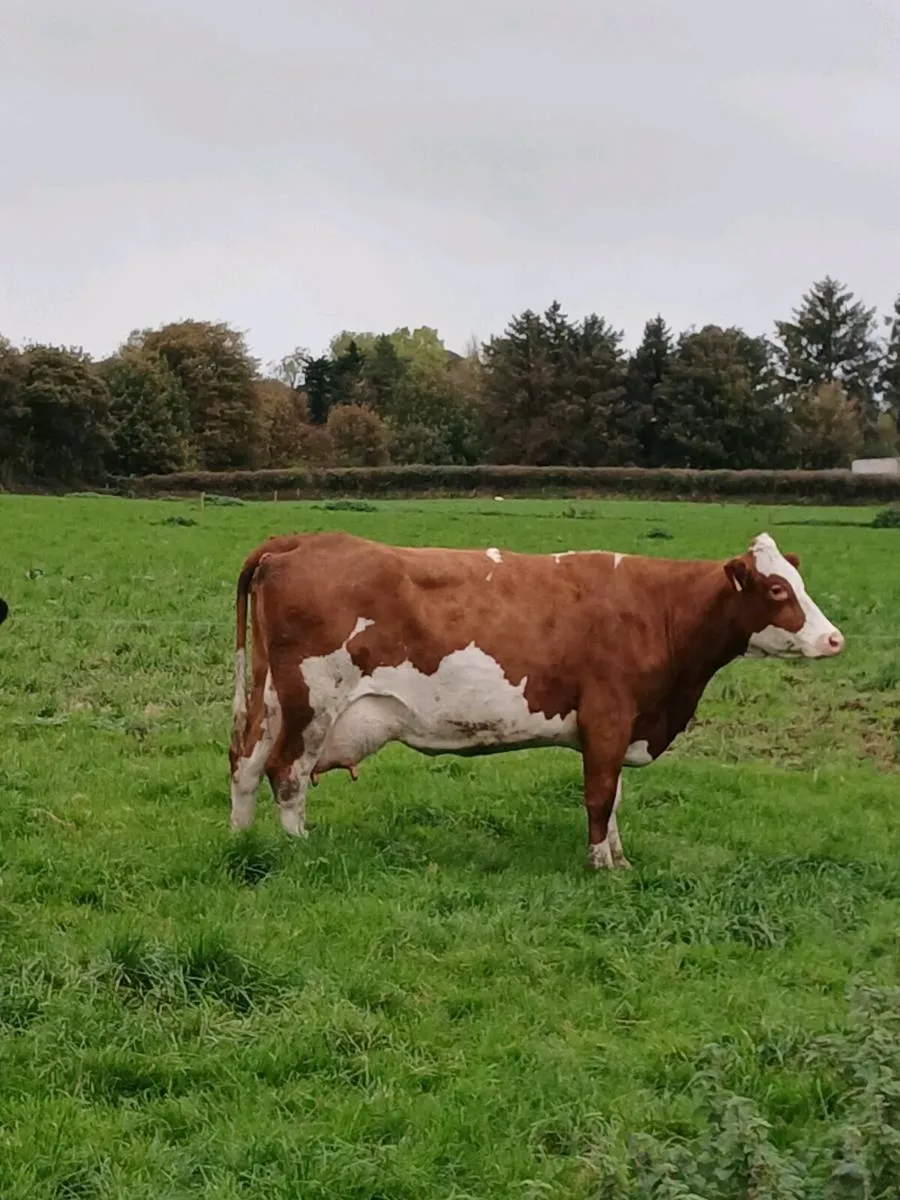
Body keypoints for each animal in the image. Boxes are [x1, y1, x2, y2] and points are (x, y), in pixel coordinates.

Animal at [228, 531, 844, 869]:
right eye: (777, 589)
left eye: (799, 583)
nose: (834, 638)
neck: (658, 610)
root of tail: (301, 540)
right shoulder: (608, 716)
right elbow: (600, 796)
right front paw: (601, 865)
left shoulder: (617, 729)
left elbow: (614, 798)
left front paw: (620, 858)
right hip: (313, 700)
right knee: (286, 773)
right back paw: (301, 848)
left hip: (272, 697)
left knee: (246, 763)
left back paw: (243, 841)